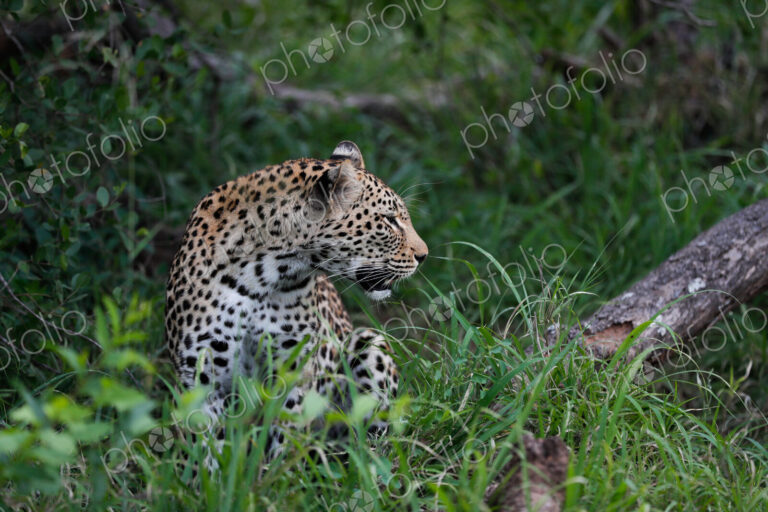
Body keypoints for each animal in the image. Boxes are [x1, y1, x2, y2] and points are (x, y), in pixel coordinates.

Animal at [164, 141, 428, 467]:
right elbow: (208, 453)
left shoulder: (294, 369)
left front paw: (276, 477)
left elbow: (285, 438)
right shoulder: (200, 378)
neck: (261, 274)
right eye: (389, 220)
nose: (424, 255)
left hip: (368, 341)